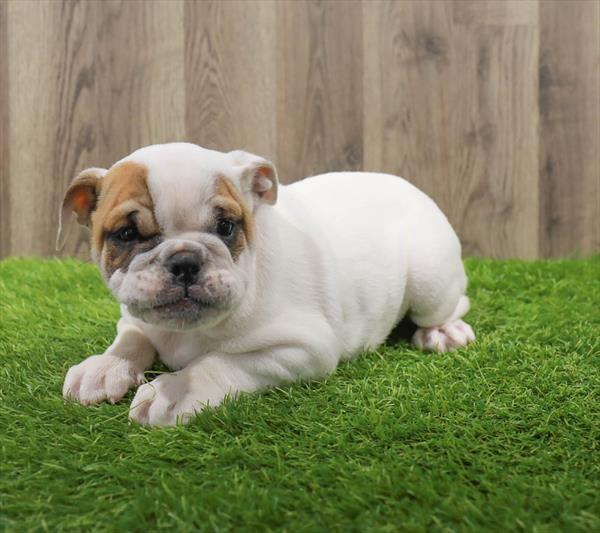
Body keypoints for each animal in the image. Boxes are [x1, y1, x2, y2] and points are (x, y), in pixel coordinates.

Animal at [59, 141, 474, 424]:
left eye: (226, 227)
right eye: (127, 234)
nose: (185, 260)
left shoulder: (302, 349)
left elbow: (219, 362)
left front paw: (172, 391)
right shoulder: (133, 316)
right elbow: (131, 339)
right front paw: (104, 367)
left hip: (428, 277)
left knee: (453, 302)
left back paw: (444, 332)